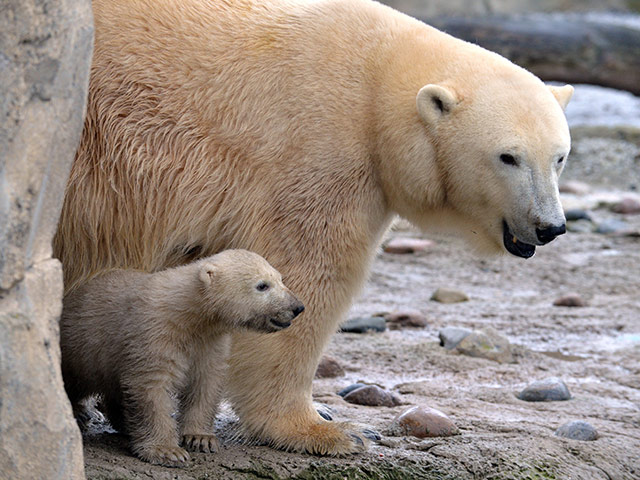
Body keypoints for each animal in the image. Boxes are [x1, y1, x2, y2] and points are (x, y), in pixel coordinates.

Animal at [58, 249, 304, 466]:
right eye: (262, 285)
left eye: (280, 278)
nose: (297, 307)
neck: (187, 313)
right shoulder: (155, 332)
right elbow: (152, 387)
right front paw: (167, 451)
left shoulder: (209, 342)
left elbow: (205, 383)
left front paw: (201, 438)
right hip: (79, 344)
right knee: (73, 379)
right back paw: (79, 413)